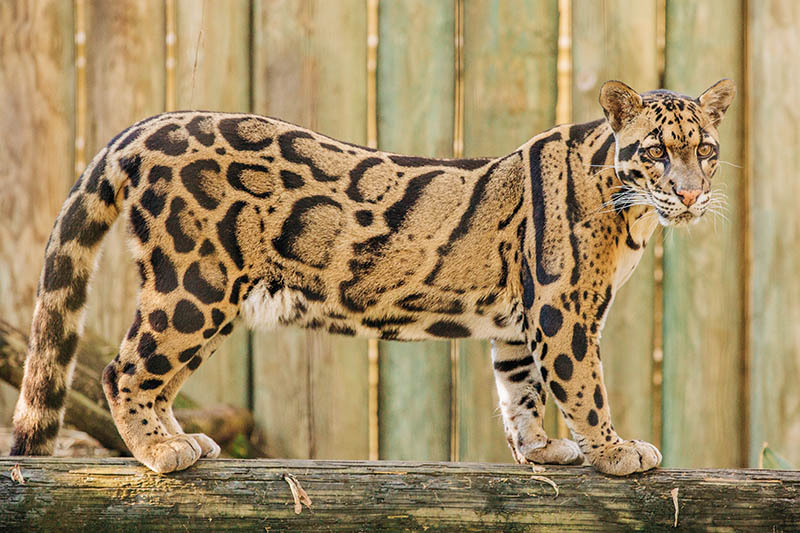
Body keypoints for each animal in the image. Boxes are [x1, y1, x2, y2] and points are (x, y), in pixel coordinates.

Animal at [11, 78, 735, 475]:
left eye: (705, 149)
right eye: (655, 152)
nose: (692, 194)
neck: (632, 211)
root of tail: (143, 127)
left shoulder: (520, 320)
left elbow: (519, 388)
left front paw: (540, 450)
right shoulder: (563, 310)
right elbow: (584, 386)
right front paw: (616, 452)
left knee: (147, 373)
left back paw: (176, 437)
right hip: (196, 281)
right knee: (122, 369)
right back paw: (161, 451)